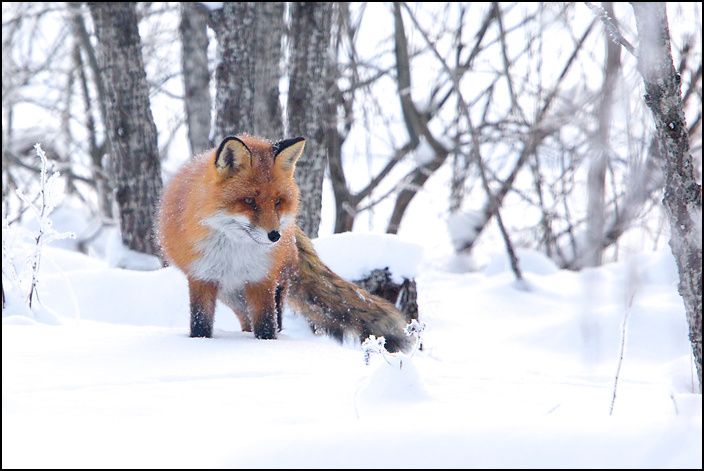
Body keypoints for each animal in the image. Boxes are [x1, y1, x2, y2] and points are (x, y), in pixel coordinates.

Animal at [158, 134, 411, 352]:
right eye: (249, 201)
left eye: (278, 201)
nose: (275, 236)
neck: (235, 254)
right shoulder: (201, 277)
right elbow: (200, 324)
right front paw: (200, 344)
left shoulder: (262, 280)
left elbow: (267, 326)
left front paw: (268, 347)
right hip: (231, 296)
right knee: (245, 321)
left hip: (272, 286)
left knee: (272, 320)